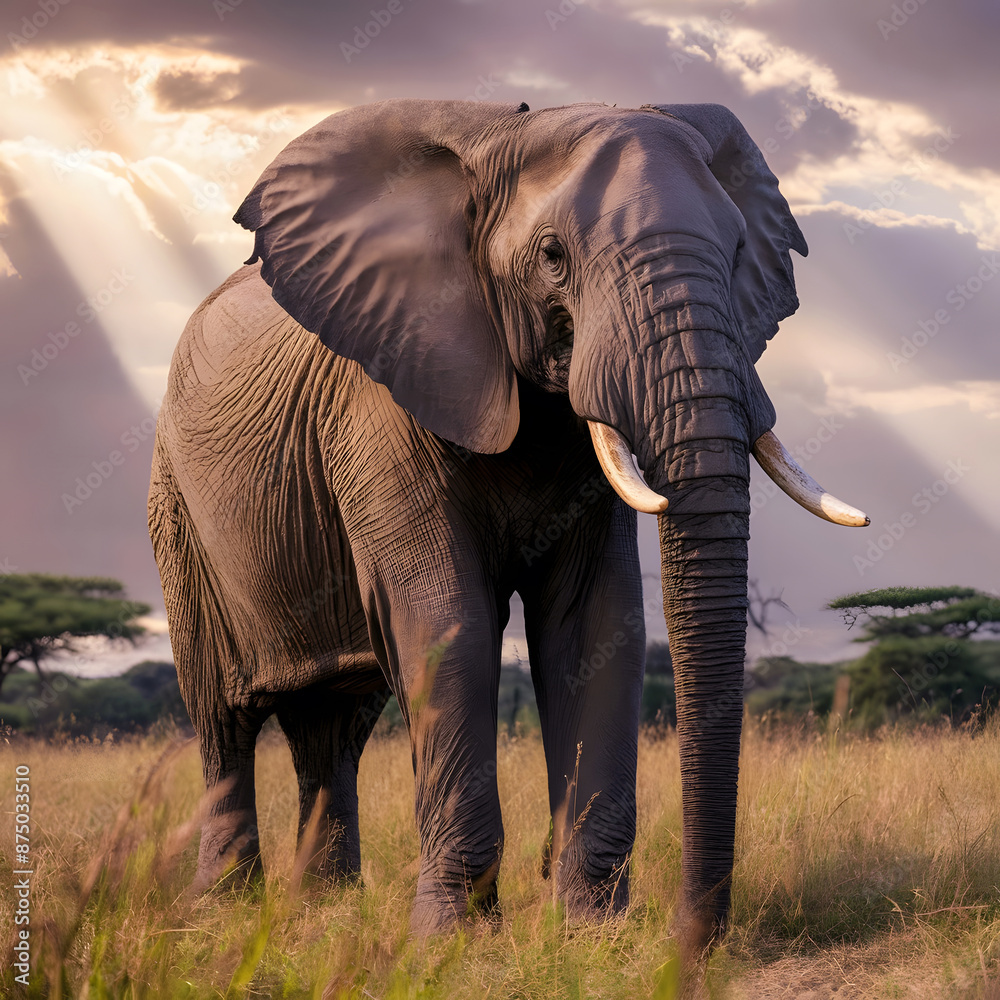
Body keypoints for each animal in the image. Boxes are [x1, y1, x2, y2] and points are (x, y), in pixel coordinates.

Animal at [148, 98, 868, 958]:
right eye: (553, 256)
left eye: (735, 252)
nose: (694, 943)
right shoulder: (383, 395)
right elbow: (447, 625)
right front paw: (449, 943)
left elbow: (595, 628)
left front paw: (588, 935)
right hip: (175, 508)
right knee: (222, 716)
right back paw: (222, 908)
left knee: (334, 725)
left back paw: (322, 907)